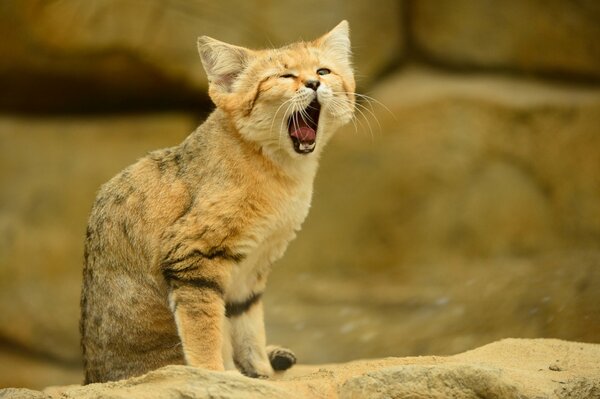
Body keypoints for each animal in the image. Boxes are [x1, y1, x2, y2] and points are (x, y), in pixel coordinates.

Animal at [78, 21, 354, 384]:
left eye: (323, 70)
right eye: (284, 76)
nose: (314, 83)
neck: (278, 169)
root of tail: (92, 376)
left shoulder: (251, 270)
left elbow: (249, 327)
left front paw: (261, 374)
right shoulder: (193, 255)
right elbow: (205, 329)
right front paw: (214, 375)